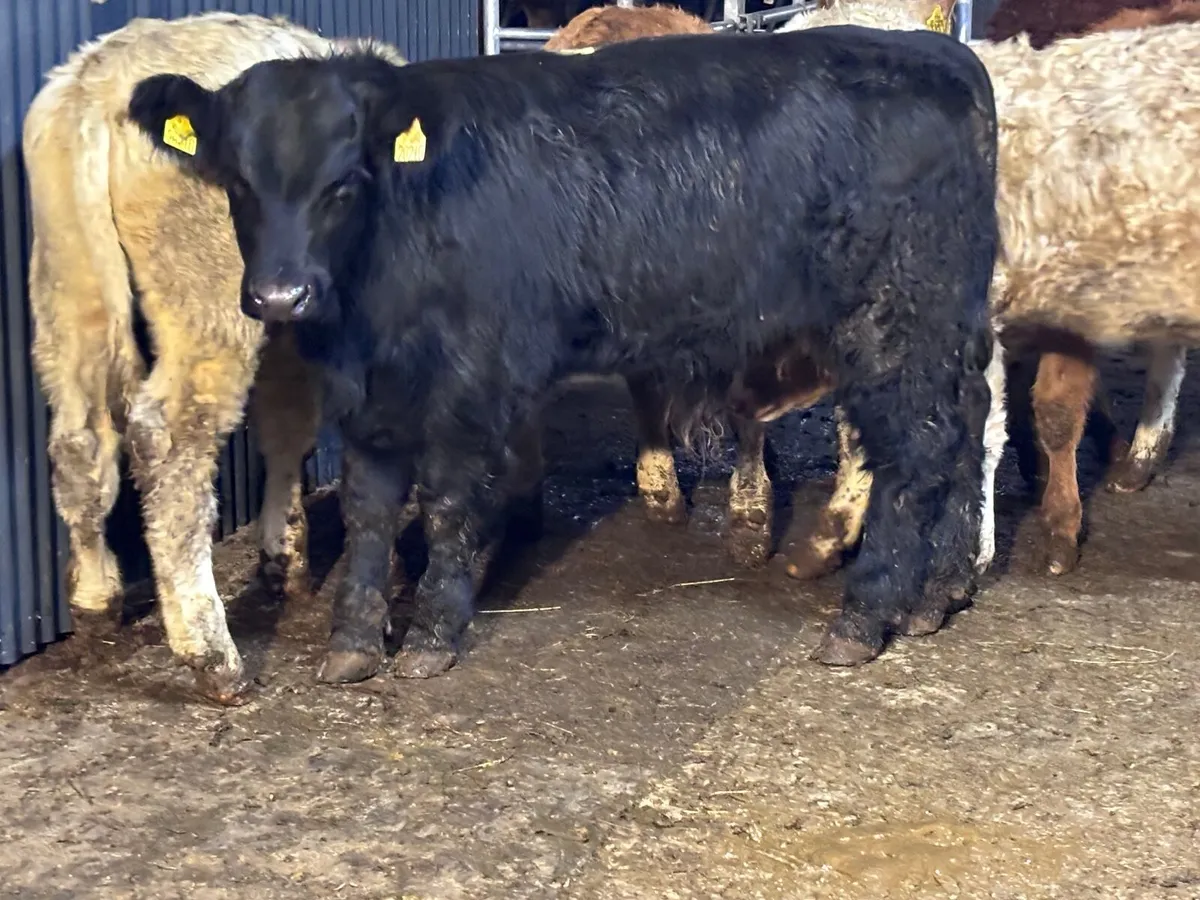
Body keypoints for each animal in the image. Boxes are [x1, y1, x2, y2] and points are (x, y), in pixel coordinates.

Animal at [128, 25, 1000, 681]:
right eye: (238, 184)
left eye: (343, 183)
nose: (281, 297)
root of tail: (943, 55)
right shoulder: (366, 393)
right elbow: (370, 508)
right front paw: (352, 642)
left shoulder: (469, 379)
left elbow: (446, 501)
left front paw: (431, 636)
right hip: (947, 321)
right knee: (965, 427)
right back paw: (939, 595)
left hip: (896, 319)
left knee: (917, 451)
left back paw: (866, 615)